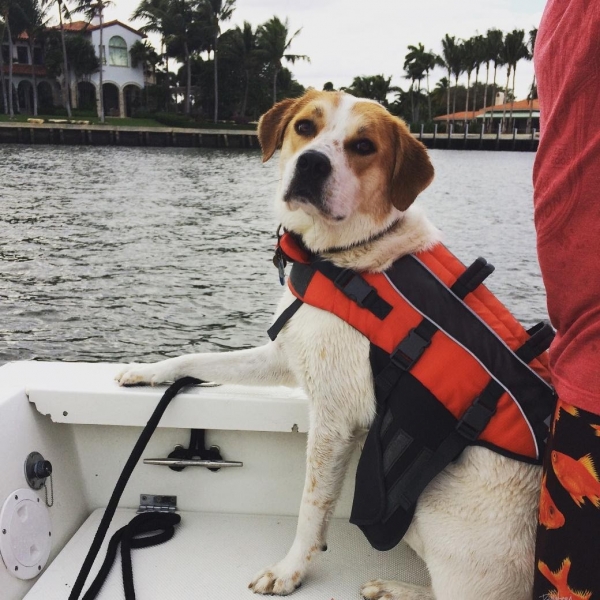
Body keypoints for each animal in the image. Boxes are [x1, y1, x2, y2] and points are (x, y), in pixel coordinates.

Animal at [116, 90, 540, 600]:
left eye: (363, 146)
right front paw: (144, 371)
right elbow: (197, 358)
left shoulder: (337, 417)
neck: (342, 256)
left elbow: (311, 504)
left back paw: (396, 588)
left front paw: (289, 570)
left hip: (433, 512)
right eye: (304, 127)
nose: (312, 163)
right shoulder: (285, 356)